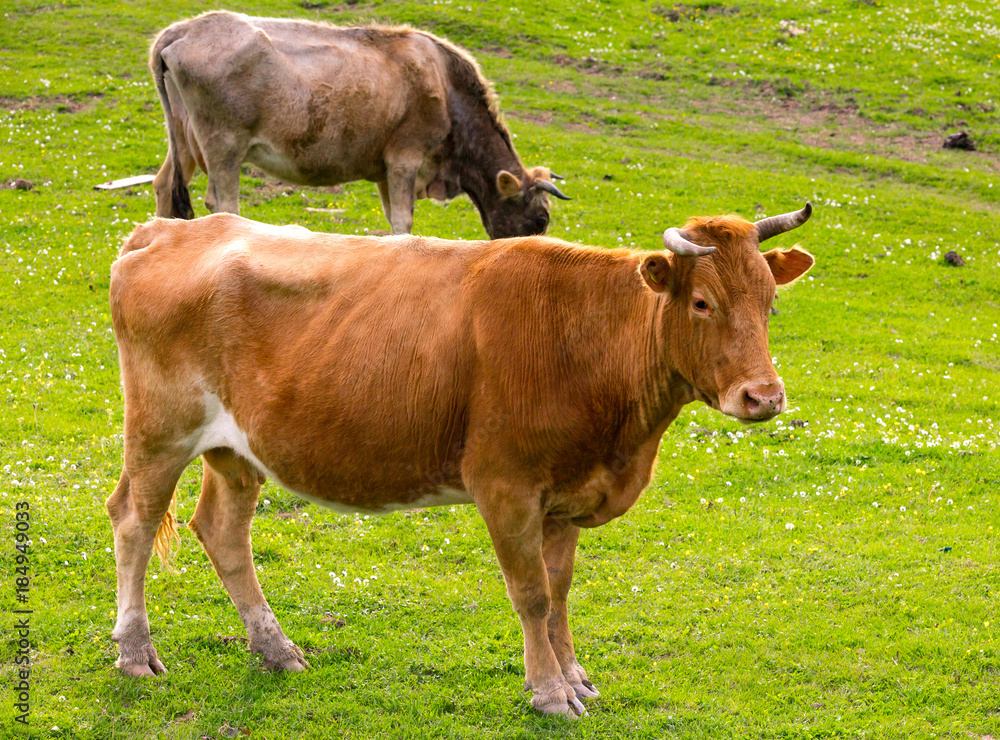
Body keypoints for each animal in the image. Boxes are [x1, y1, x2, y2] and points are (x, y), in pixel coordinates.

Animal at [109, 204, 812, 716]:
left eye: (770, 303)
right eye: (702, 303)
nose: (764, 396)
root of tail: (166, 228)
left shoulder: (567, 494)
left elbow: (560, 591)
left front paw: (574, 675)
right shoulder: (505, 484)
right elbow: (531, 594)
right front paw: (549, 691)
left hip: (235, 448)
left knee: (222, 530)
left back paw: (276, 648)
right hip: (160, 430)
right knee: (133, 522)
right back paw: (135, 652)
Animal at [148, 11, 572, 237]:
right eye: (541, 218)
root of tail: (185, 28)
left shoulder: (384, 169)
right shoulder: (405, 156)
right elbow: (402, 220)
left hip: (185, 141)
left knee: (164, 187)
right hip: (223, 143)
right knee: (223, 204)